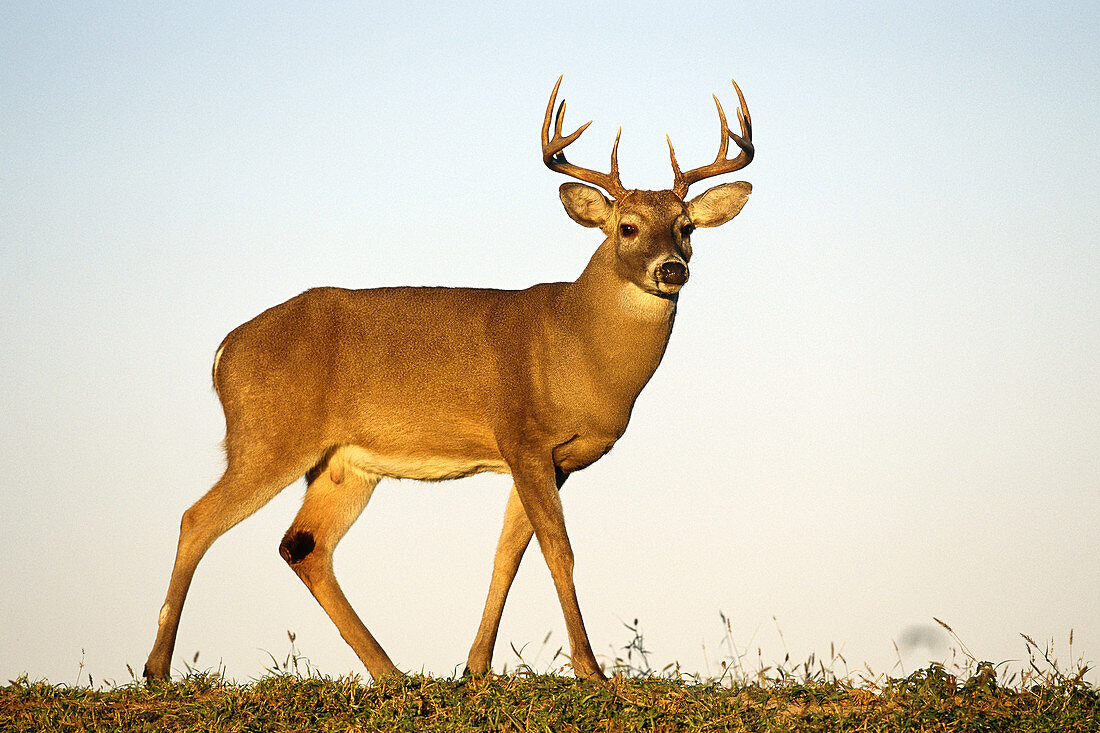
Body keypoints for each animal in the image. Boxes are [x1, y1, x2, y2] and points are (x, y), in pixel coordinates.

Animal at [141, 74, 752, 677]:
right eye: (626, 227)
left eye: (687, 227)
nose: (672, 269)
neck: (577, 346)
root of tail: (224, 350)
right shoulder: (522, 435)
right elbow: (558, 549)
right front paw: (590, 670)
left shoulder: (549, 461)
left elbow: (507, 555)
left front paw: (476, 668)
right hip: (268, 437)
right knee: (196, 519)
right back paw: (158, 667)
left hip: (343, 464)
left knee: (304, 545)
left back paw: (392, 672)